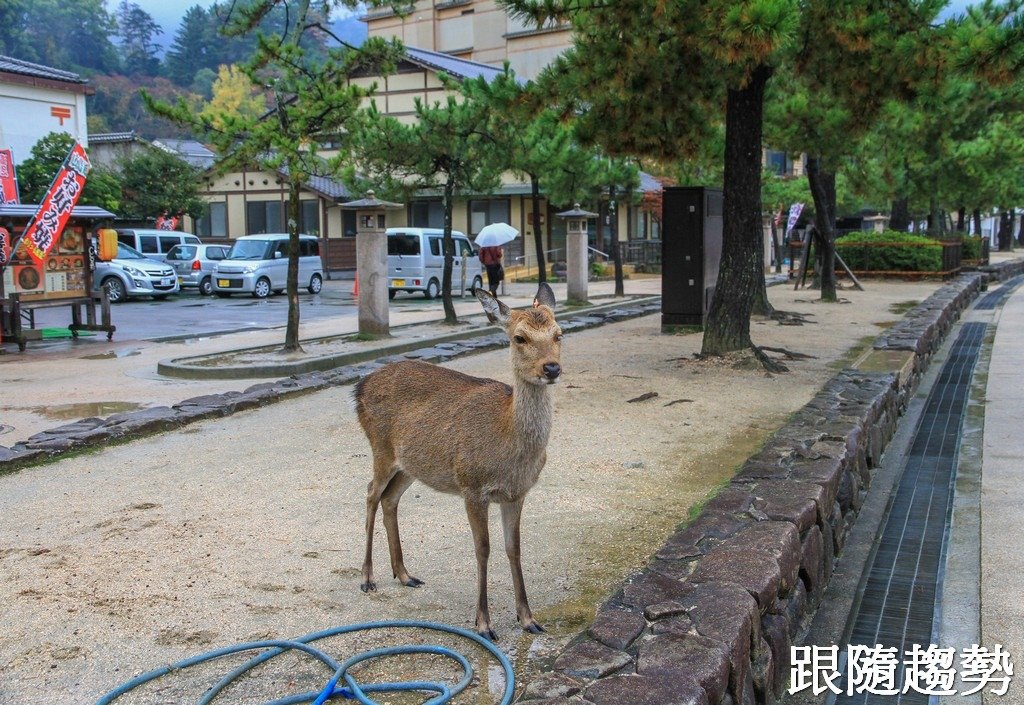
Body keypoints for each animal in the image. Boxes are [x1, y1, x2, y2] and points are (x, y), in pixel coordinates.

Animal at [352, 280, 561, 639]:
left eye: (558, 334)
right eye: (519, 338)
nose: (551, 368)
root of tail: (359, 387)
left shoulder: (517, 493)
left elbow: (514, 548)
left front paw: (528, 619)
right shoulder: (472, 487)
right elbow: (483, 548)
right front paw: (483, 624)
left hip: (411, 464)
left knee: (390, 498)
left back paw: (404, 574)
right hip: (380, 447)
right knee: (370, 493)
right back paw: (367, 578)